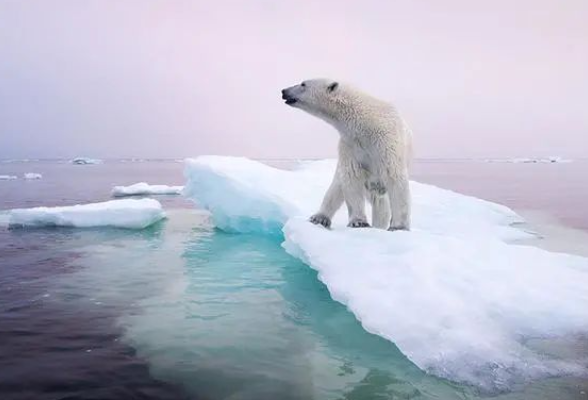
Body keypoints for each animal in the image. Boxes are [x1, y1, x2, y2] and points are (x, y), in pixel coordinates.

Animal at [282, 78, 412, 230]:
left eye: (303, 84)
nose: (284, 91)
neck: (366, 124)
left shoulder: (386, 141)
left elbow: (394, 176)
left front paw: (398, 226)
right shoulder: (350, 145)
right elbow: (351, 176)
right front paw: (359, 222)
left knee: (380, 201)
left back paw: (379, 225)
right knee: (337, 187)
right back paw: (319, 218)